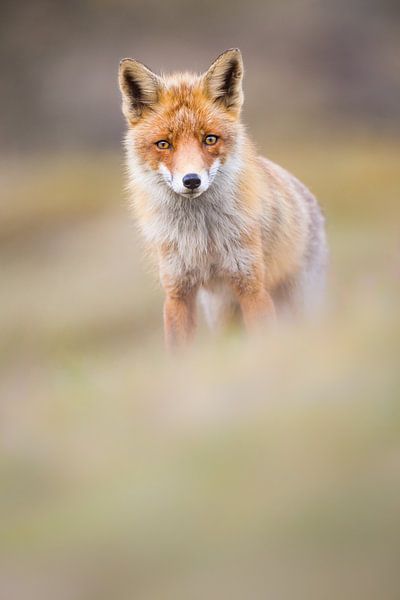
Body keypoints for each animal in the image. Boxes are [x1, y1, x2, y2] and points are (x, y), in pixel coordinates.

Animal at [118, 49, 328, 350]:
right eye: (164, 144)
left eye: (210, 139)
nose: (191, 180)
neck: (202, 238)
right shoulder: (178, 292)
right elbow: (179, 351)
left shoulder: (251, 286)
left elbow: (262, 341)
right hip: (221, 313)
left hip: (300, 303)